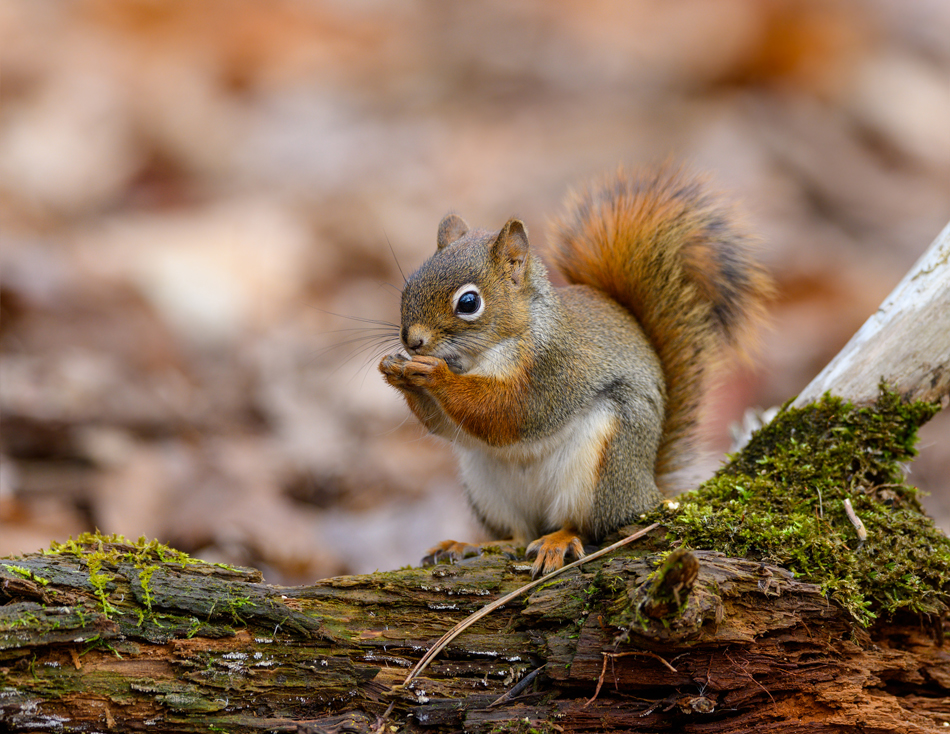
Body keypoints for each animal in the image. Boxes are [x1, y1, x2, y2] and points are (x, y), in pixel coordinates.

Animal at [379, 165, 772, 577]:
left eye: (469, 302)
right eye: (408, 286)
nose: (413, 342)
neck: (480, 356)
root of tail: (647, 491)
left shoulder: (552, 371)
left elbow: (505, 412)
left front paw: (433, 375)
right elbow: (448, 426)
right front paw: (394, 370)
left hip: (601, 466)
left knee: (587, 524)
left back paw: (559, 540)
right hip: (485, 487)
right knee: (518, 535)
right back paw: (473, 545)